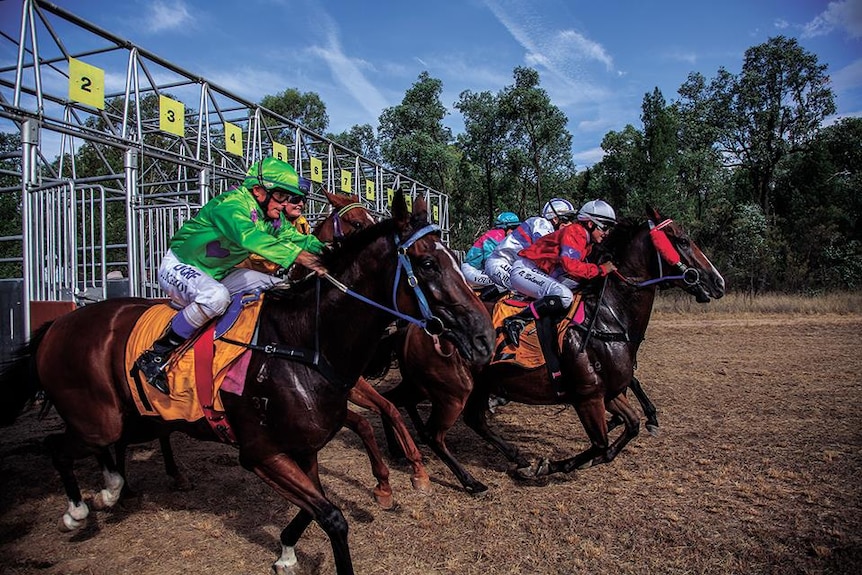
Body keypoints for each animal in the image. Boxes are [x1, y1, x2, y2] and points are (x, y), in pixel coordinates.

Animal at [0, 194, 496, 575]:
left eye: (455, 259)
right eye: (428, 263)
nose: (484, 337)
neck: (302, 342)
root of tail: (59, 323)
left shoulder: (304, 447)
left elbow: (312, 508)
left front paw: (287, 552)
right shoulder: (260, 453)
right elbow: (333, 517)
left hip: (133, 416)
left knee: (112, 446)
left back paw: (112, 487)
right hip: (97, 417)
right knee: (56, 446)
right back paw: (79, 508)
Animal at [382, 205, 724, 492]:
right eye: (682, 240)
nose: (717, 281)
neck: (607, 316)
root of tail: (418, 323)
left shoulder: (611, 393)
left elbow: (629, 428)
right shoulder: (587, 397)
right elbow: (601, 445)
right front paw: (546, 467)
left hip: (451, 383)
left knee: (415, 406)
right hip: (451, 389)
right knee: (435, 433)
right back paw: (469, 480)